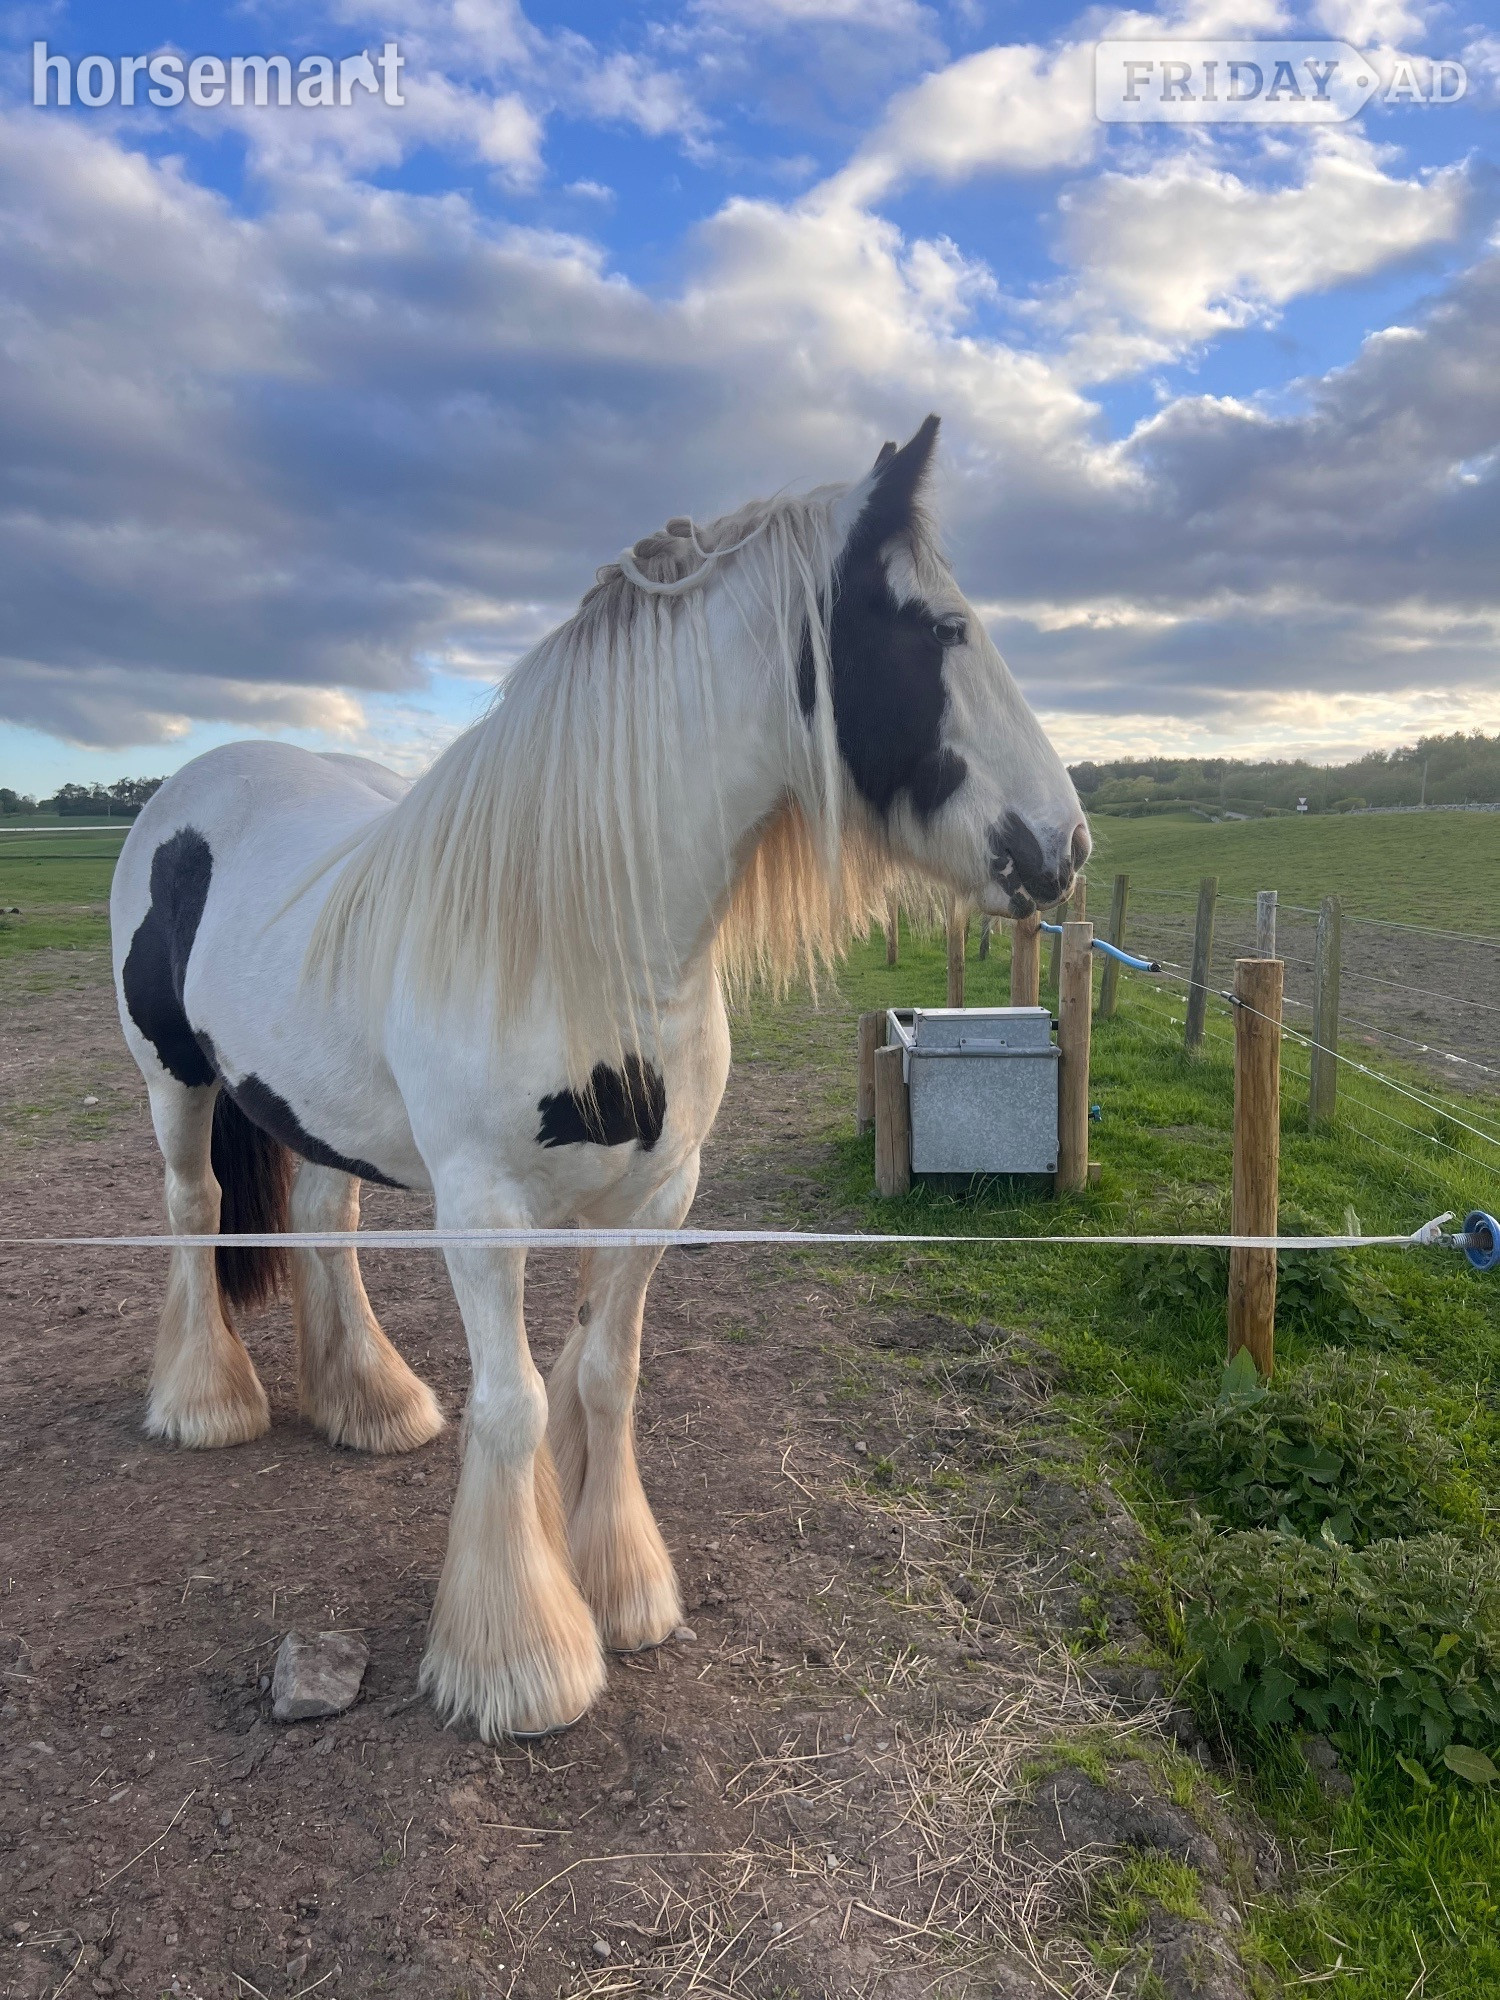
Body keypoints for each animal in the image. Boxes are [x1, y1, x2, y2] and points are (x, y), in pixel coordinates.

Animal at [108, 415, 1089, 1740]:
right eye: (941, 628)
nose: (1064, 843)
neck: (577, 936)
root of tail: (196, 780)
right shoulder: (483, 1212)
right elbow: (519, 1400)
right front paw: (521, 1657)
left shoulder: (654, 1197)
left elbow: (604, 1379)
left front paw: (618, 1587)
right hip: (175, 1079)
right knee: (195, 1205)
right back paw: (206, 1400)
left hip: (317, 1109)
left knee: (323, 1217)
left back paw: (368, 1401)